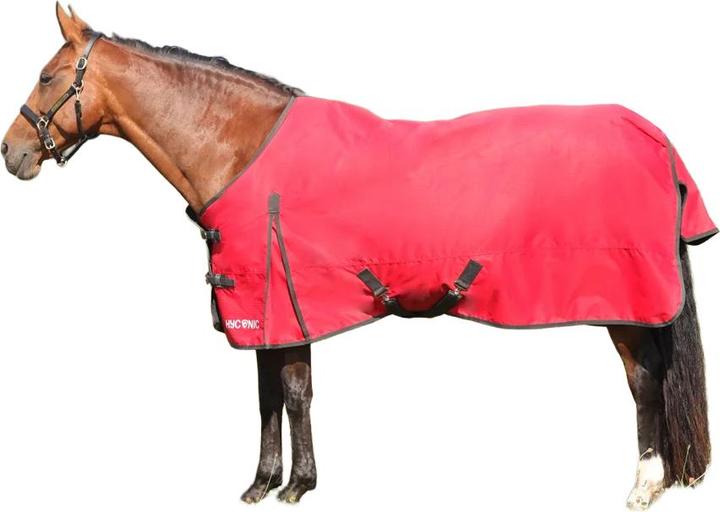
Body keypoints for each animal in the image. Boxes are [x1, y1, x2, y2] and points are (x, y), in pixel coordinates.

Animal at [2, 5, 713, 510]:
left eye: (46, 76)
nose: (13, 153)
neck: (240, 150)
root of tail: (656, 138)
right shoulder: (268, 309)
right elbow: (267, 395)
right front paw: (262, 483)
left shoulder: (288, 303)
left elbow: (292, 393)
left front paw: (297, 485)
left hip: (623, 303)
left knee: (643, 382)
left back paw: (642, 485)